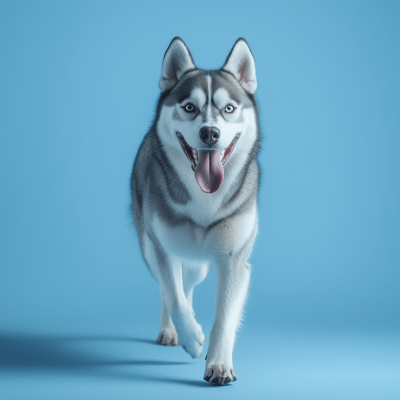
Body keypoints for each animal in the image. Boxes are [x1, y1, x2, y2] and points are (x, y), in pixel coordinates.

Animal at [131, 37, 260, 384]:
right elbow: (173, 296)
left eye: (229, 108)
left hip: (197, 263)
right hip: (150, 246)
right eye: (189, 107)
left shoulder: (234, 259)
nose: (210, 133)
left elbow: (225, 315)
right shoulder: (162, 247)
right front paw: (191, 338)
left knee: (188, 282)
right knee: (170, 288)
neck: (206, 199)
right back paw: (172, 331)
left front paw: (218, 364)